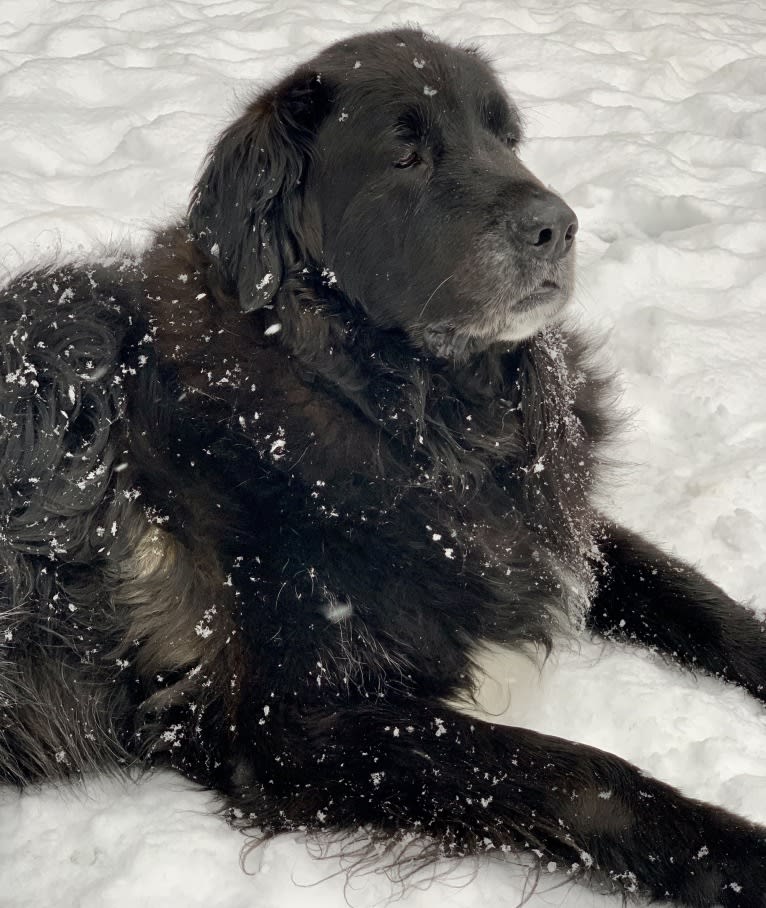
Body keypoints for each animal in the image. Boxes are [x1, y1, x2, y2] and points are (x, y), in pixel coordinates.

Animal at [1, 28, 766, 908]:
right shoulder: (295, 725)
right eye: (406, 155)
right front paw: (736, 854)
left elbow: (696, 596)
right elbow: (581, 776)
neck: (398, 411)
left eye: (505, 137)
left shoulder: (534, 531)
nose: (558, 226)